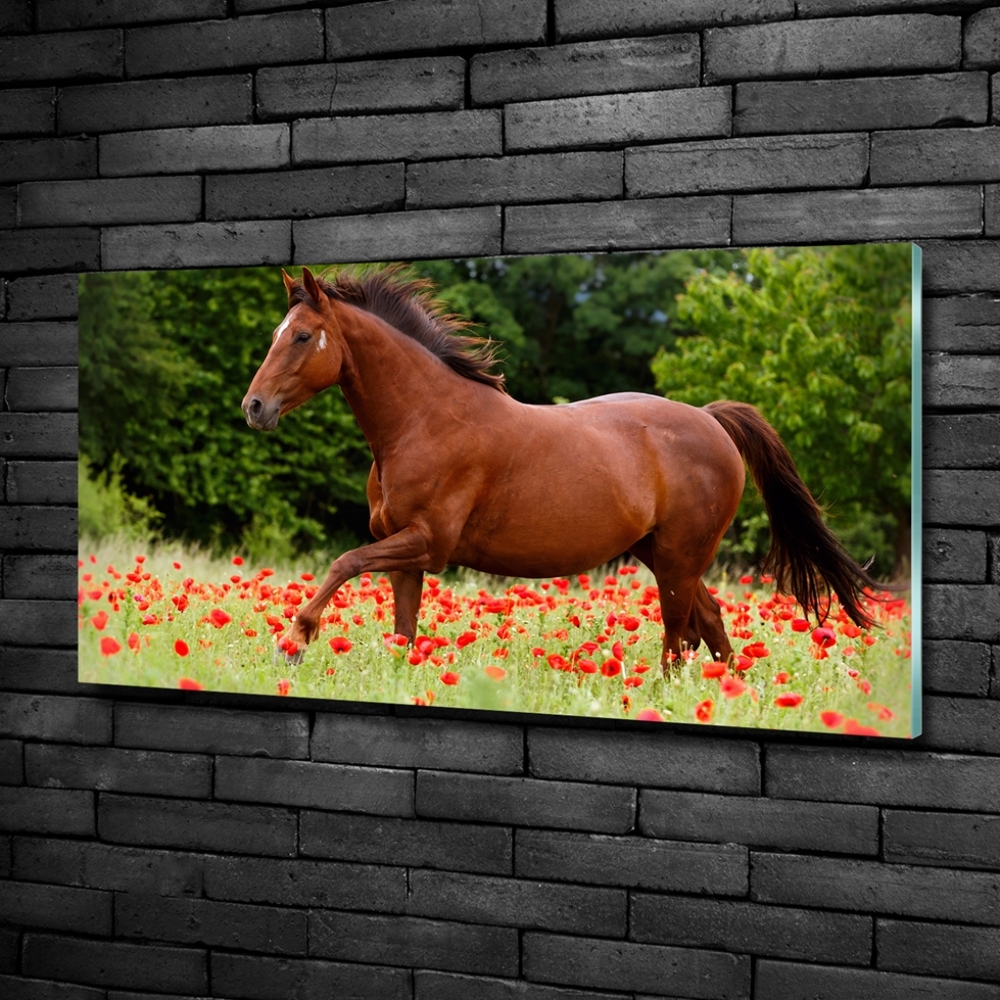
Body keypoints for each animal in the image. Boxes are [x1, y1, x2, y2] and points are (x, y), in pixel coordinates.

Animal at [240, 266, 876, 672]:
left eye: (302, 336)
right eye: (274, 333)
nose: (254, 407)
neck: (425, 419)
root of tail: (711, 419)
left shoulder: (426, 542)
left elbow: (343, 562)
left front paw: (293, 642)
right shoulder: (404, 553)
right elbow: (403, 630)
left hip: (679, 557)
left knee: (677, 639)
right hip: (664, 554)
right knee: (711, 625)